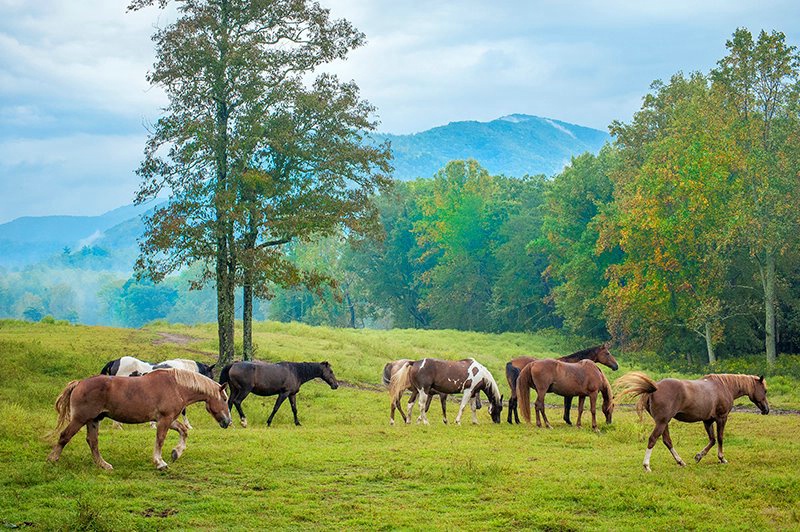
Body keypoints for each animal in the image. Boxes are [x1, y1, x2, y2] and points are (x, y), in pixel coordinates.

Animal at [46, 370, 230, 470]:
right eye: (225, 399)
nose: (228, 421)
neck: (176, 386)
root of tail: (79, 383)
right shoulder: (165, 419)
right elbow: (160, 439)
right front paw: (160, 462)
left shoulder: (168, 419)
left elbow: (183, 431)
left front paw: (176, 452)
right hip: (80, 419)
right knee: (65, 436)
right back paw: (52, 459)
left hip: (93, 420)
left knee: (93, 442)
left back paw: (104, 465)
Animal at [612, 372, 768, 472]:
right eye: (765, 390)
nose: (766, 409)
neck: (724, 387)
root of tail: (654, 388)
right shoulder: (721, 418)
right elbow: (720, 438)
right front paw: (722, 458)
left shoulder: (707, 421)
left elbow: (712, 440)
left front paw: (699, 456)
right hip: (661, 422)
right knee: (653, 439)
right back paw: (646, 465)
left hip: (664, 423)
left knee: (667, 441)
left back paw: (680, 461)